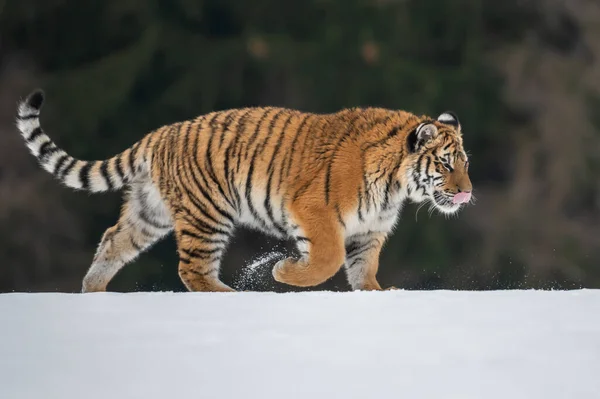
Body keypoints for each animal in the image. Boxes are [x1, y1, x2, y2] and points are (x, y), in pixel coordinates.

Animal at [15, 89, 474, 292]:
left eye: (466, 163)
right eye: (445, 163)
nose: (467, 194)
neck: (395, 185)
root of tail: (159, 134)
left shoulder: (369, 230)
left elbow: (363, 269)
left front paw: (379, 295)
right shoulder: (315, 210)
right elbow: (327, 259)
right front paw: (283, 272)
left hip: (150, 212)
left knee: (113, 241)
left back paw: (92, 295)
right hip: (207, 214)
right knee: (193, 270)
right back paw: (231, 296)